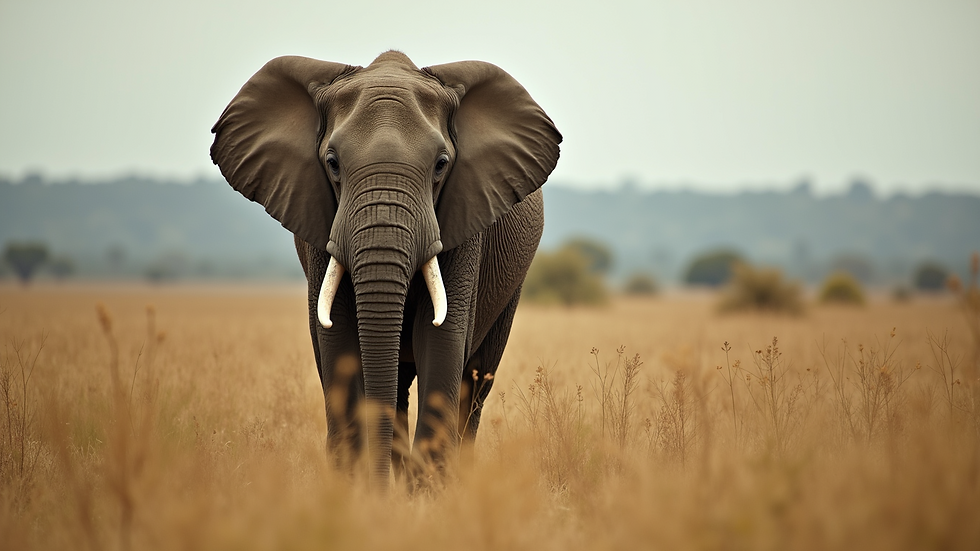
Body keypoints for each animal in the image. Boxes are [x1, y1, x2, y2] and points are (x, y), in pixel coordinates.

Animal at [210, 51, 561, 485]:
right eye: (332, 163)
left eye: (441, 165)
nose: (379, 489)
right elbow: (337, 339)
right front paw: (357, 490)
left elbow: (441, 337)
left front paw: (423, 493)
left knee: (476, 382)